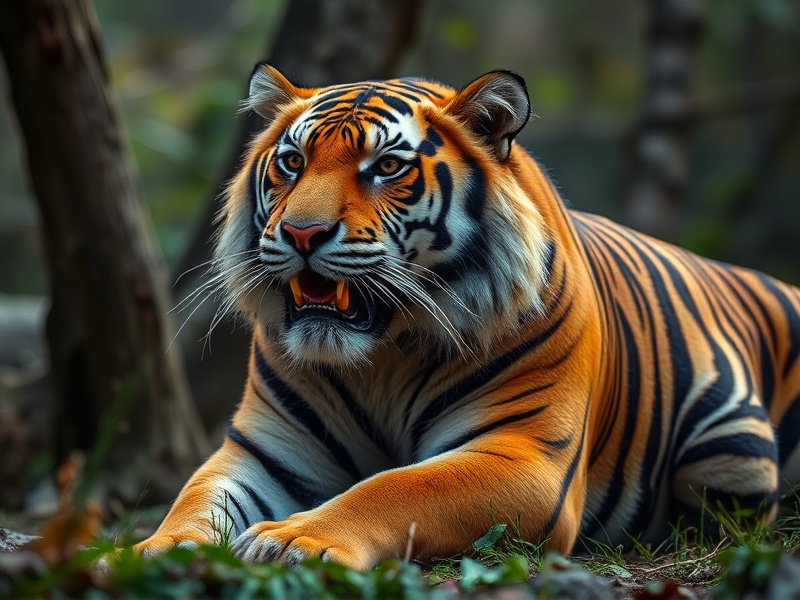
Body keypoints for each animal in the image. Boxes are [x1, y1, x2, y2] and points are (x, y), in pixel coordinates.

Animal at [134, 64, 800, 569]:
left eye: (387, 167)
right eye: (293, 162)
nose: (301, 233)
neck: (383, 356)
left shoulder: (522, 455)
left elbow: (395, 486)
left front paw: (295, 537)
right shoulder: (267, 448)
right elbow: (197, 498)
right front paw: (153, 550)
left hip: (729, 450)